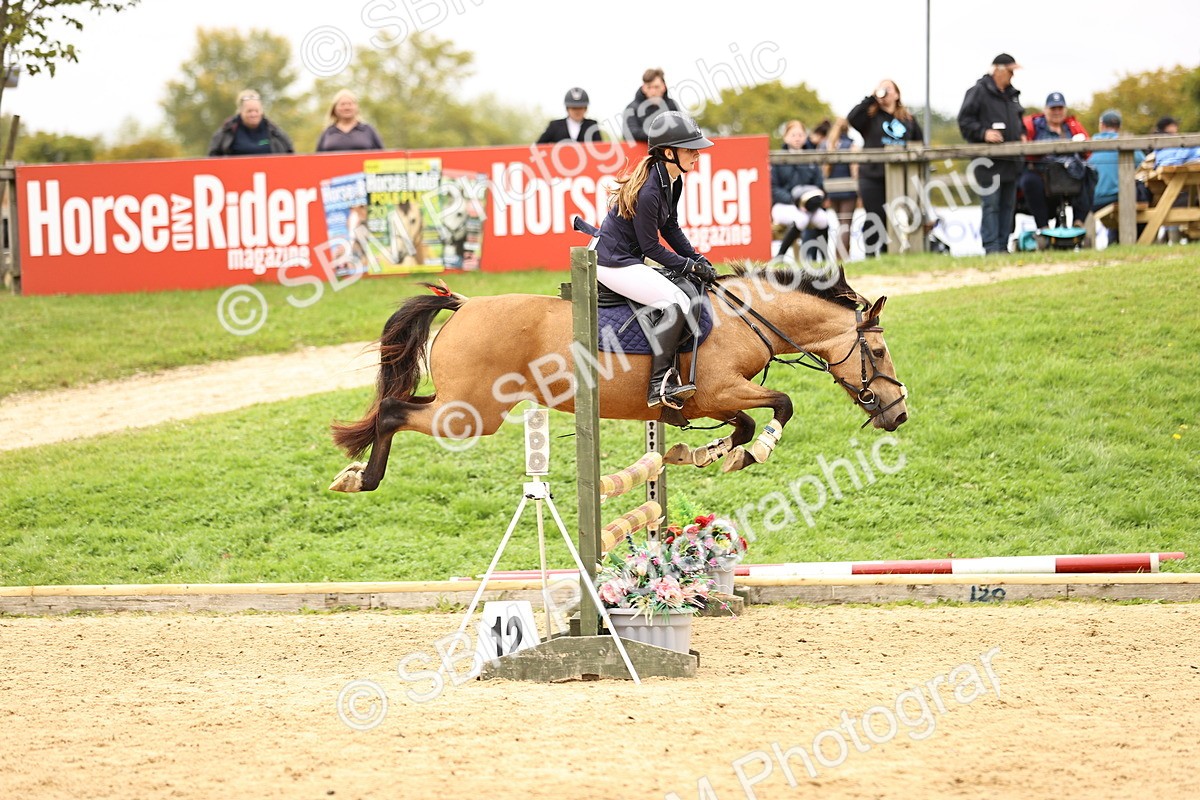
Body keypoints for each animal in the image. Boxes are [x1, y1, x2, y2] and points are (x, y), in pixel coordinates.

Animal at [328, 264, 907, 493]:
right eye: (878, 350)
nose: (899, 413)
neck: (747, 318)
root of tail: (465, 305)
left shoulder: (706, 402)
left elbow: (740, 424)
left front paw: (701, 453)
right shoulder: (718, 390)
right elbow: (782, 405)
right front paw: (751, 454)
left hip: (462, 404)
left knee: (401, 406)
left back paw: (358, 474)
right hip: (471, 415)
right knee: (393, 411)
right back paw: (363, 478)